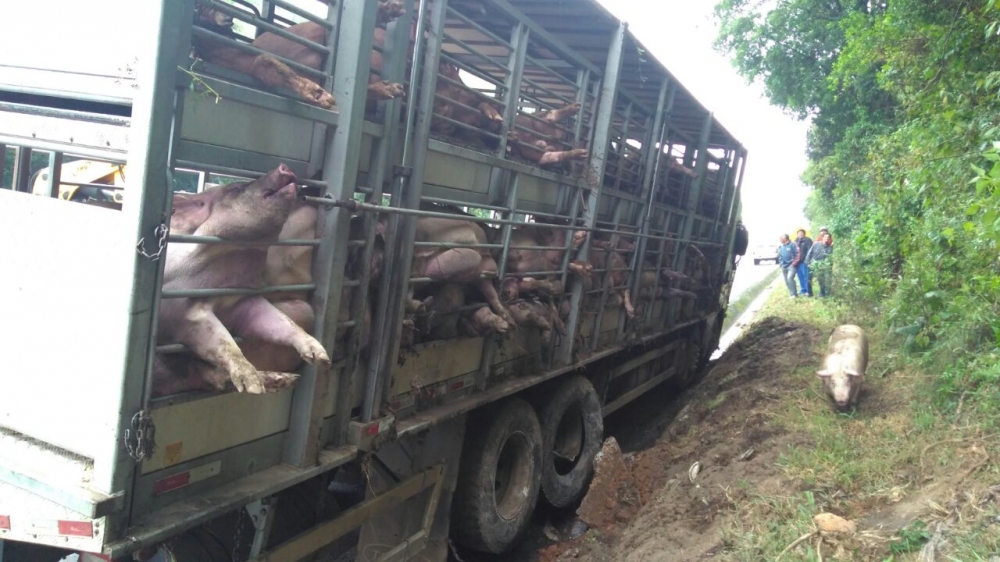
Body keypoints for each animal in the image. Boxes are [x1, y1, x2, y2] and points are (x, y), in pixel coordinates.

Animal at [154, 164, 330, 396]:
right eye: (235, 188)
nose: (284, 167)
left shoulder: (244, 301)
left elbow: (281, 322)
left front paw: (321, 356)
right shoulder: (183, 310)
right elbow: (224, 341)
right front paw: (253, 386)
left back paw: (288, 379)